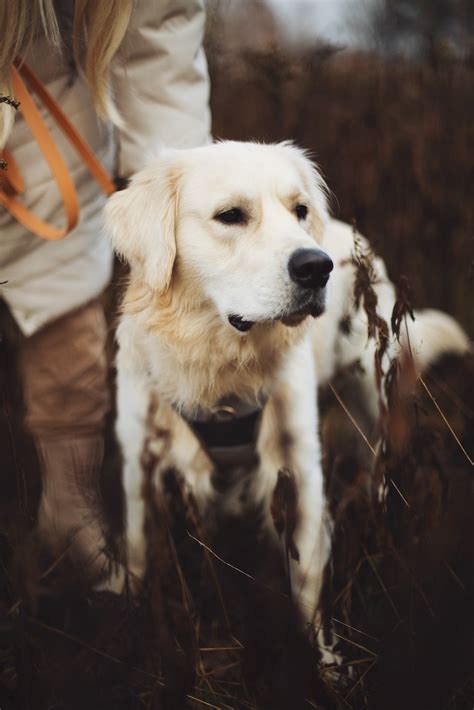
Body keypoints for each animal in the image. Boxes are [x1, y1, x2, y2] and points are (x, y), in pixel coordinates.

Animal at [104, 140, 470, 624]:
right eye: (230, 215)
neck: (221, 365)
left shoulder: (297, 467)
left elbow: (308, 589)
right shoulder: (140, 465)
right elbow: (140, 556)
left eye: (299, 210)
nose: (317, 266)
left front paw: (316, 646)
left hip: (375, 401)